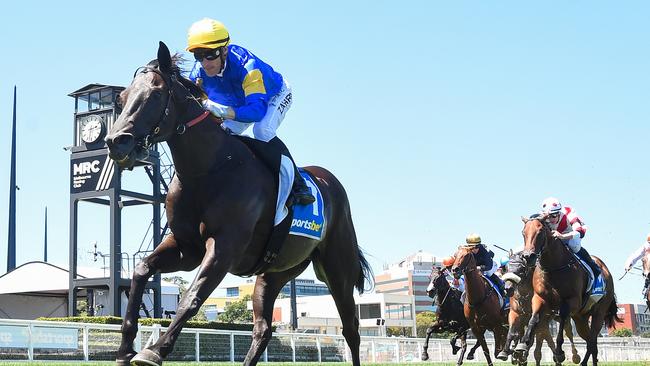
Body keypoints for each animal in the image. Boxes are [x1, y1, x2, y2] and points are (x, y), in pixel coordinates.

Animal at [105, 42, 370, 366]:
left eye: (155, 94)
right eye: (121, 98)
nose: (116, 141)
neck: (209, 169)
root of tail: (329, 181)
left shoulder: (223, 248)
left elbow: (191, 298)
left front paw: (153, 350)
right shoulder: (186, 247)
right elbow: (142, 270)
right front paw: (124, 348)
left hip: (338, 268)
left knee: (351, 328)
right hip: (275, 273)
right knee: (263, 329)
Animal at [512, 214, 620, 366]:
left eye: (540, 232)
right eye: (523, 233)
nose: (528, 257)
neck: (554, 267)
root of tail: (606, 271)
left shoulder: (572, 301)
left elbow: (562, 319)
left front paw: (559, 352)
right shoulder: (539, 298)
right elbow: (534, 319)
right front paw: (522, 345)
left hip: (599, 313)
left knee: (592, 341)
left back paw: (583, 362)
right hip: (580, 318)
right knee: (591, 342)